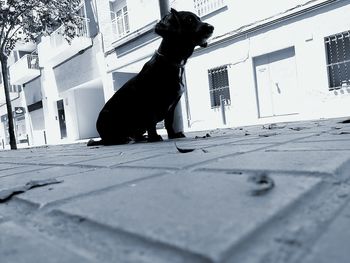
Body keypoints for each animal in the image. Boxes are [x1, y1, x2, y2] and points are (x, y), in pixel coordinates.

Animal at [87, 8, 213, 146]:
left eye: (198, 18)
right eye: (189, 20)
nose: (211, 27)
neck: (171, 61)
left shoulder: (172, 106)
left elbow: (169, 122)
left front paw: (173, 135)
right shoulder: (149, 102)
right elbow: (151, 122)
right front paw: (154, 136)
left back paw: (140, 137)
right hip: (107, 117)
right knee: (110, 140)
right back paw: (123, 139)